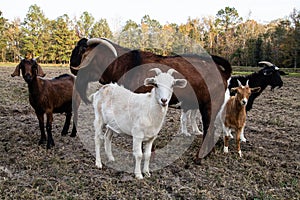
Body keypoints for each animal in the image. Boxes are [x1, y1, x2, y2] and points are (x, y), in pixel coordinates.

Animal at [69, 38, 232, 162]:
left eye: (80, 51)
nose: (71, 67)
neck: (125, 64)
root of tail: (223, 73)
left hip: (209, 105)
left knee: (209, 128)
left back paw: (199, 156)